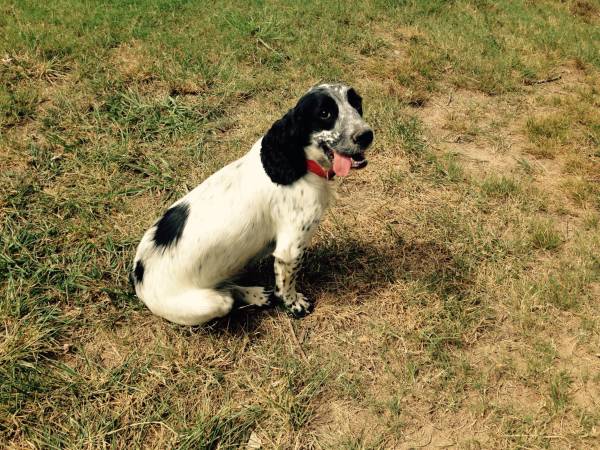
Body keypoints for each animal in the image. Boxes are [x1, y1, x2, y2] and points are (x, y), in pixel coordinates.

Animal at [131, 83, 372, 324]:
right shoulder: (290, 249)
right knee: (227, 293)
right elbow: (287, 284)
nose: (367, 135)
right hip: (211, 303)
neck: (300, 164)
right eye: (325, 113)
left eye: (356, 103)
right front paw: (295, 305)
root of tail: (138, 279)